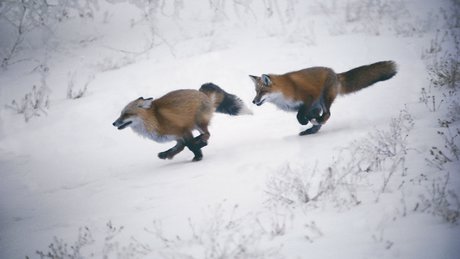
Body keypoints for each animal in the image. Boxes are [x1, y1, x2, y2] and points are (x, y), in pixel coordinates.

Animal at [114, 83, 252, 161]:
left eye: (126, 114)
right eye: (121, 114)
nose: (114, 123)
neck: (155, 119)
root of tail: (201, 92)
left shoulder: (183, 130)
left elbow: (190, 145)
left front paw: (198, 156)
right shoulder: (177, 137)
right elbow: (180, 147)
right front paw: (166, 155)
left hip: (198, 122)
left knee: (207, 134)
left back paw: (201, 141)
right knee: (203, 136)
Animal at [250, 60, 398, 135]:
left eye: (262, 91)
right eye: (256, 91)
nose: (253, 101)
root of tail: (335, 73)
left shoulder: (310, 97)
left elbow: (300, 116)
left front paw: (305, 122)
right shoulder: (305, 107)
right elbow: (304, 116)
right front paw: (309, 123)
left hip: (324, 99)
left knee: (327, 114)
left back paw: (317, 122)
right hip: (319, 104)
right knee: (321, 120)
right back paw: (311, 129)